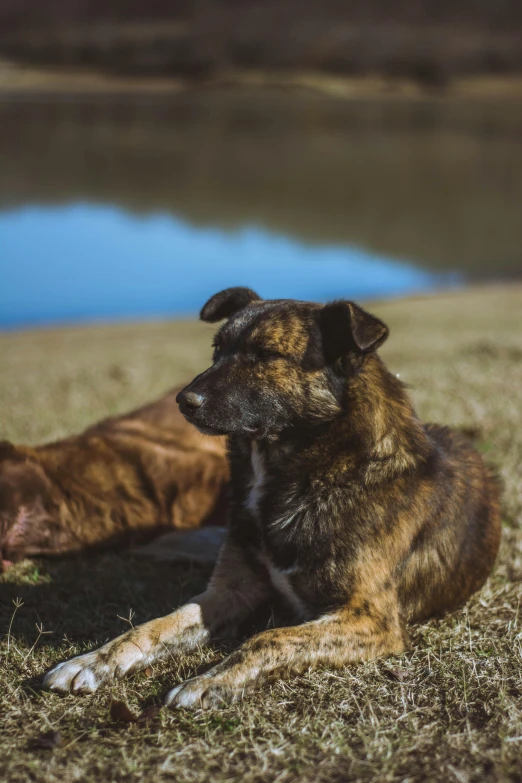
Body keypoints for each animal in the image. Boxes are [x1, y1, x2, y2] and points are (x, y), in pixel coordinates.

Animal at [42, 290, 498, 712]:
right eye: (217, 350)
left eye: (265, 354)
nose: (183, 402)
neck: (307, 476)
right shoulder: (230, 591)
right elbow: (154, 625)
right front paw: (91, 660)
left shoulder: (371, 618)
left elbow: (268, 638)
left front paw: (210, 681)